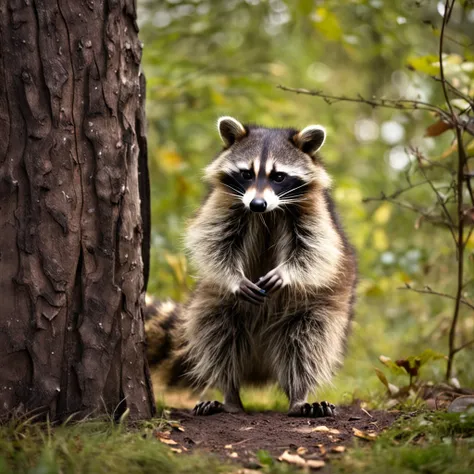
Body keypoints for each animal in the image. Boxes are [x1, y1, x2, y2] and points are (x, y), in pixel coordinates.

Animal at [148, 118, 356, 418]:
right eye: (246, 173)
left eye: (279, 176)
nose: (257, 204)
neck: (267, 213)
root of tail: (260, 367)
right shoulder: (223, 203)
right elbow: (211, 242)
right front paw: (233, 278)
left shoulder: (315, 211)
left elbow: (318, 250)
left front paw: (287, 273)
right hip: (211, 303)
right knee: (218, 337)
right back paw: (230, 394)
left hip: (315, 309)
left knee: (306, 343)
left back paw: (298, 395)